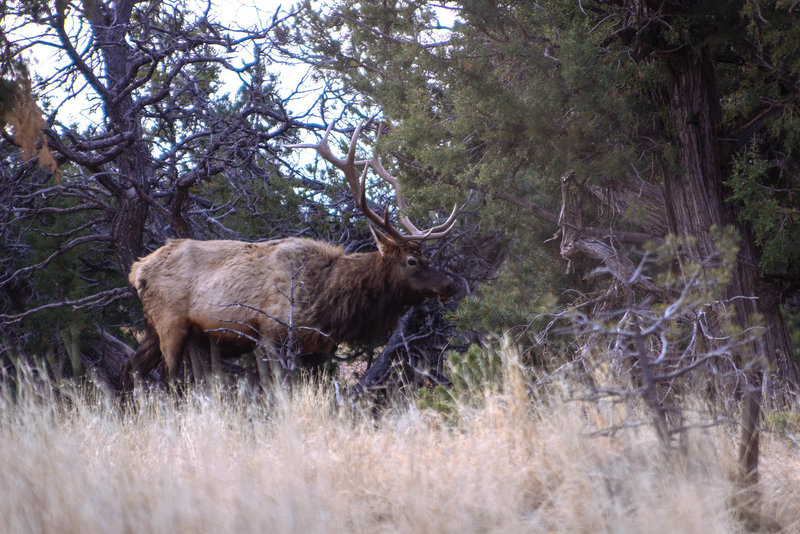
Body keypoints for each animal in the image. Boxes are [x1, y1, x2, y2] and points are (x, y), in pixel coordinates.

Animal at [126, 120, 462, 390]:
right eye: (411, 261)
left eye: (426, 258)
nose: (450, 285)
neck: (330, 301)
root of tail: (136, 270)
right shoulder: (270, 333)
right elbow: (278, 390)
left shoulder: (319, 349)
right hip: (170, 323)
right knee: (168, 380)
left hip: (159, 329)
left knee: (134, 368)